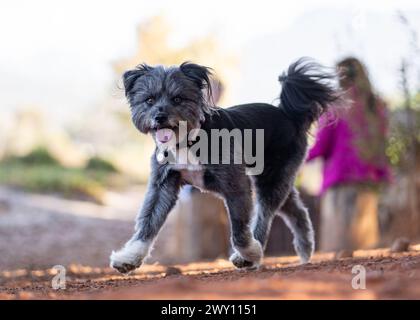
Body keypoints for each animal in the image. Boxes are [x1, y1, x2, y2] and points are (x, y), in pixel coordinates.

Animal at [109, 57, 338, 272]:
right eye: (149, 99)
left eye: (178, 98)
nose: (159, 116)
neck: (188, 140)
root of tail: (289, 114)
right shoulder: (163, 185)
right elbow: (148, 223)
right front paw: (129, 258)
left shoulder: (235, 185)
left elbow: (239, 231)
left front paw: (249, 253)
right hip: (277, 179)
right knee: (297, 211)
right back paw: (305, 249)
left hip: (272, 179)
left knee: (264, 216)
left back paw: (254, 255)